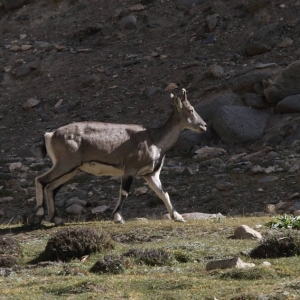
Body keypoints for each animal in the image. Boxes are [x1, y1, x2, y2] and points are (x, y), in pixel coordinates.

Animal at [33, 89, 206, 225]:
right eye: (191, 110)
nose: (204, 126)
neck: (155, 141)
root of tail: (50, 135)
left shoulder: (150, 174)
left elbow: (163, 193)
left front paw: (177, 217)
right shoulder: (130, 169)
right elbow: (124, 192)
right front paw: (118, 218)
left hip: (71, 169)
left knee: (51, 187)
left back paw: (55, 219)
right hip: (65, 164)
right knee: (41, 180)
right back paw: (40, 214)